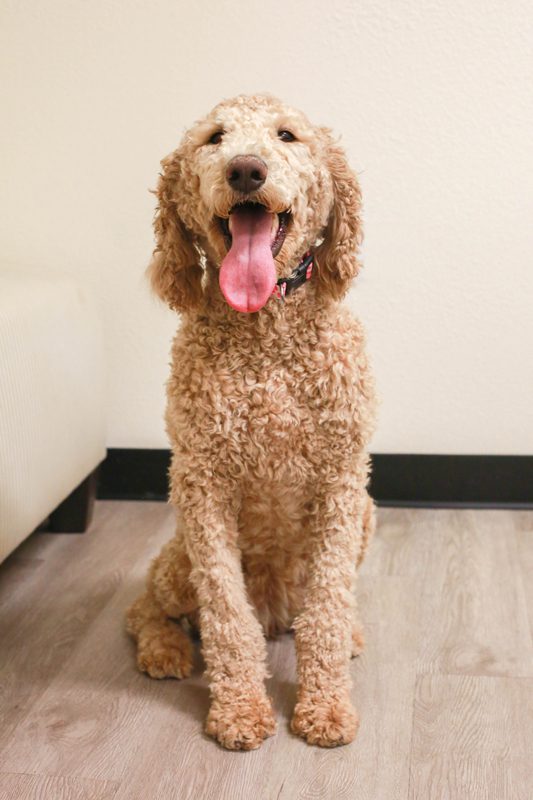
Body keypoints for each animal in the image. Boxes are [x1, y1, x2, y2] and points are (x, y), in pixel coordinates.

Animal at [125, 94, 374, 752]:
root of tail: (274, 606)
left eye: (287, 135)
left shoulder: (342, 483)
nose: (245, 169)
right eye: (214, 138)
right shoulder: (202, 486)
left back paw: (351, 632)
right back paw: (163, 648)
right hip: (178, 556)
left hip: (367, 515)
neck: (266, 331)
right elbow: (225, 617)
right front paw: (238, 709)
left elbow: (328, 608)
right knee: (145, 606)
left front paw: (325, 706)